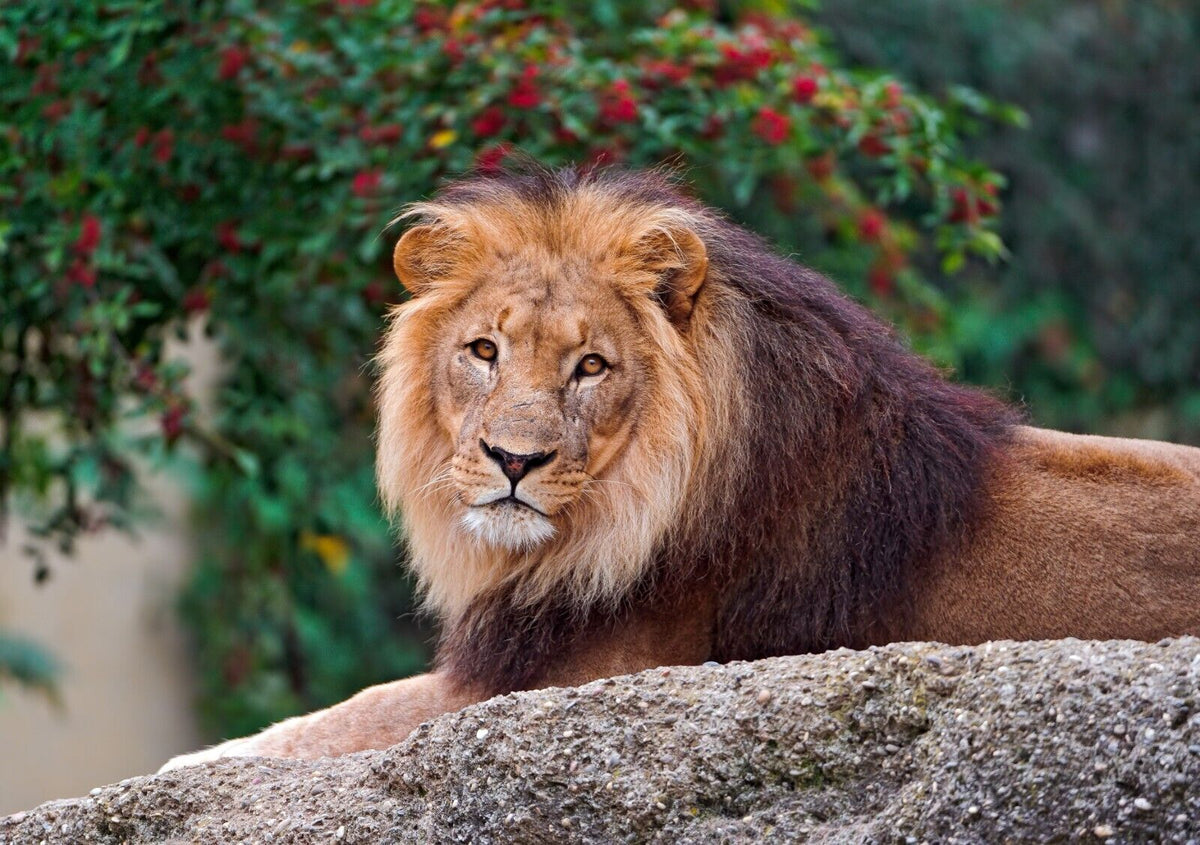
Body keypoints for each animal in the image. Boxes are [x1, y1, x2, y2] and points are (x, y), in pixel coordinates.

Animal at [162, 164, 1200, 770]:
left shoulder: (568, 680)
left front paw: (197, 763)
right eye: (484, 351)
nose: (512, 459)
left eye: (591, 366)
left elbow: (353, 715)